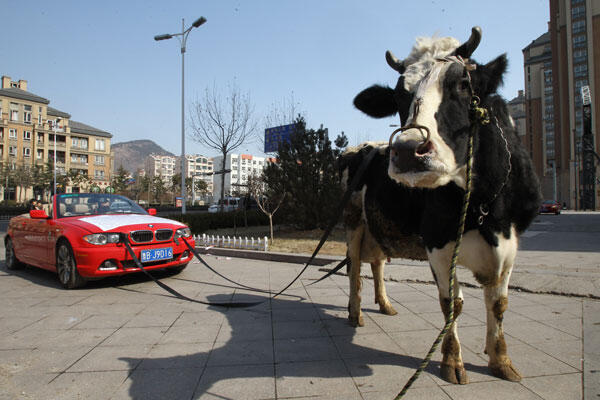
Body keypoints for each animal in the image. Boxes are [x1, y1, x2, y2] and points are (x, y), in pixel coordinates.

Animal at [340, 27, 540, 384]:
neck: (484, 205)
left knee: (377, 263)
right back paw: (355, 312)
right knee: (354, 268)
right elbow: (452, 304)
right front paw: (452, 361)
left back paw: (384, 304)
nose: (408, 150)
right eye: (398, 97)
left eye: (462, 83)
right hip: (353, 222)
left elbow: (499, 303)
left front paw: (501, 360)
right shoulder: (437, 243)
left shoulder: (511, 244)